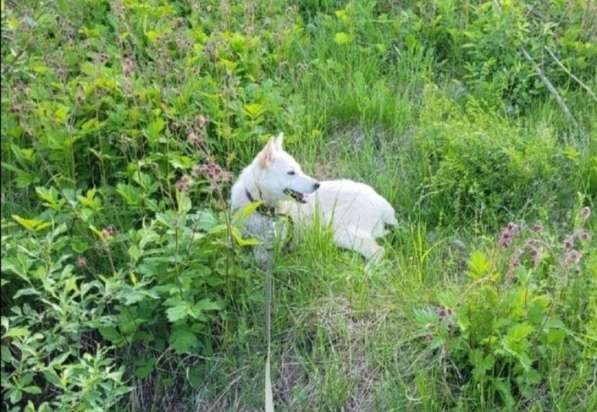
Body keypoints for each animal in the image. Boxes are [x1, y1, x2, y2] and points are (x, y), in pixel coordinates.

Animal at [228, 134, 396, 260]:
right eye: (291, 172)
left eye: (299, 170)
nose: (317, 185)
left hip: (337, 229)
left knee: (378, 251)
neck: (260, 207)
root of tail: (381, 202)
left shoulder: (271, 247)